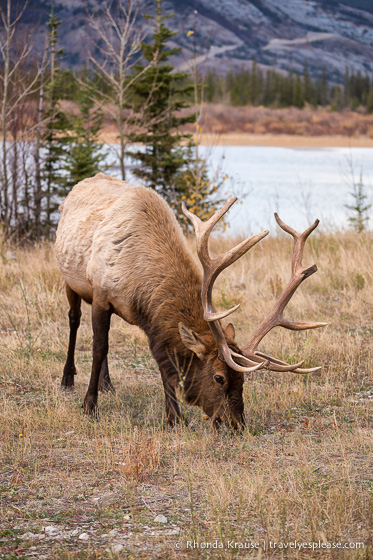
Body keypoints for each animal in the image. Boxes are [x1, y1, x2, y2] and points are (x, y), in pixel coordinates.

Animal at [55, 172, 326, 428]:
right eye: (219, 377)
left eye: (242, 379)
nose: (237, 423)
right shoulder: (101, 295)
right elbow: (99, 347)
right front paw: (89, 406)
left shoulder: (153, 326)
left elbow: (163, 364)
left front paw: (174, 418)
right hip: (70, 281)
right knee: (74, 320)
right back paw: (68, 378)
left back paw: (107, 383)